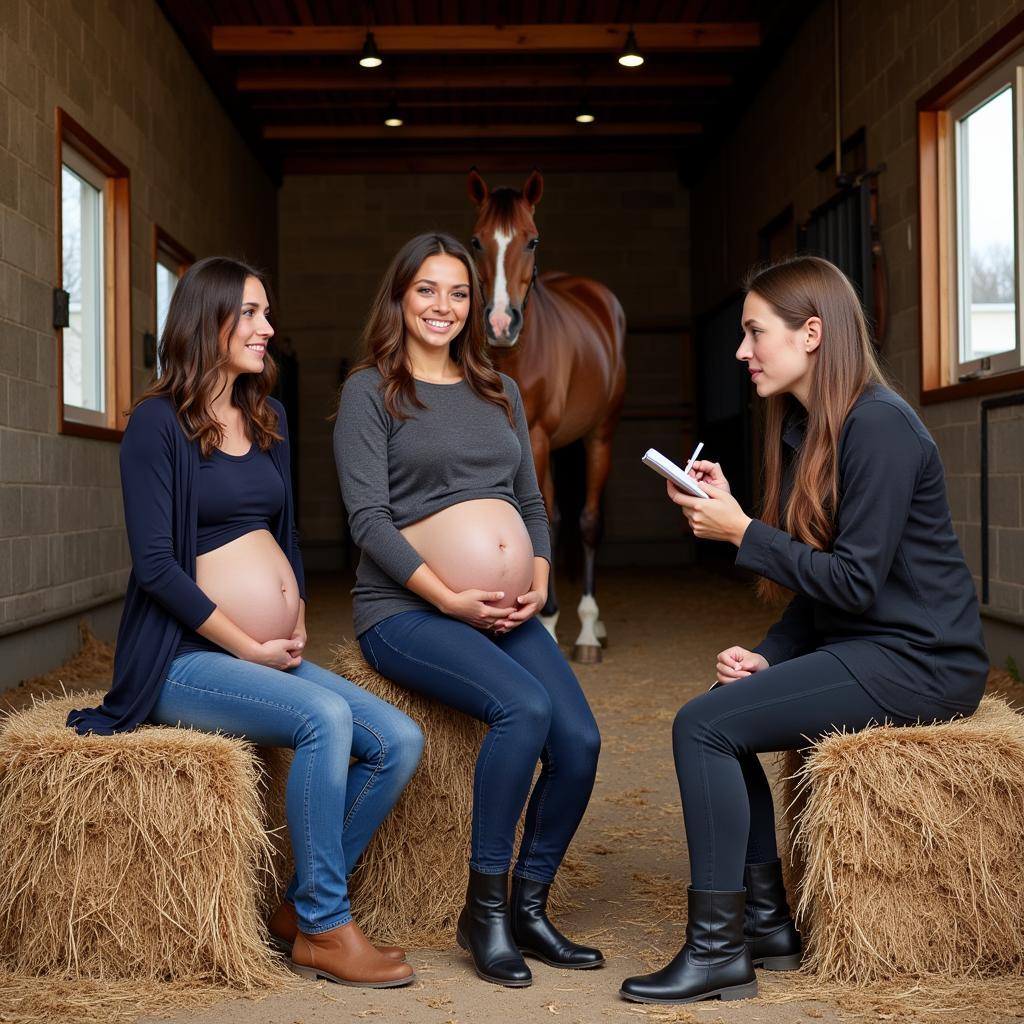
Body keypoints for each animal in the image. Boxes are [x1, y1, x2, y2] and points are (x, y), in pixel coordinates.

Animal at [466, 167, 622, 663]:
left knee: (587, 520)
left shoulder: (535, 436)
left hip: (598, 435)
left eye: (531, 240)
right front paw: (544, 619)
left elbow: (553, 521)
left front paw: (555, 624)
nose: (500, 324)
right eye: (476, 241)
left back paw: (590, 628)